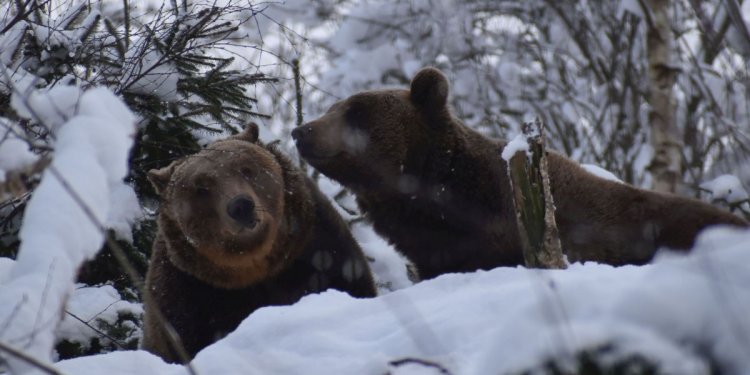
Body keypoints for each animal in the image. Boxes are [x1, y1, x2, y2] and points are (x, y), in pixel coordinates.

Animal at [142, 124, 376, 364]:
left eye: (245, 169)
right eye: (201, 188)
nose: (240, 206)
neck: (255, 269)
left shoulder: (316, 249)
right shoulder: (187, 296)